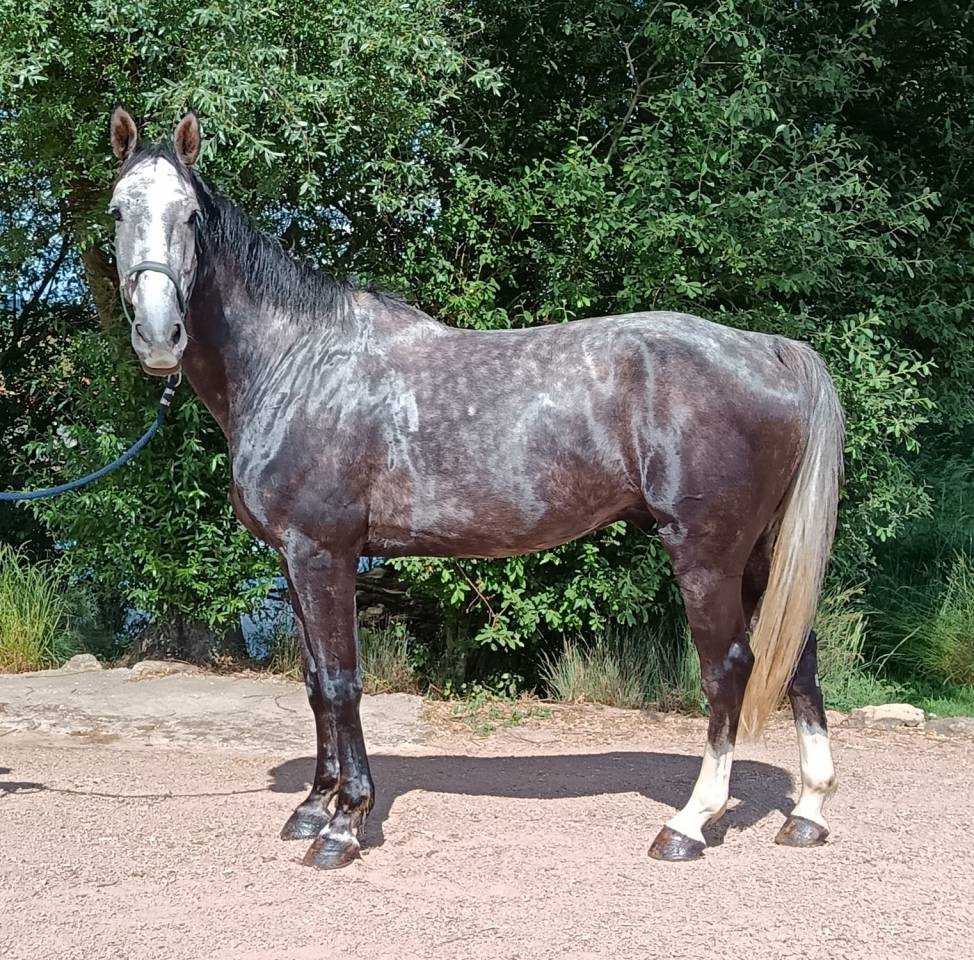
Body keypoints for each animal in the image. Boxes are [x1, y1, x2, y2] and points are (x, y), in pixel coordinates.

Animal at [107, 108, 843, 869]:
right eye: (118, 210)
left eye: (191, 215)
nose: (159, 335)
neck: (298, 363)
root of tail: (770, 350)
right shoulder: (292, 559)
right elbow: (314, 684)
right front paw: (313, 807)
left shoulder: (323, 553)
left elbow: (341, 684)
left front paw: (345, 824)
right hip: (758, 553)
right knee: (799, 658)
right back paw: (808, 813)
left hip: (706, 554)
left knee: (728, 668)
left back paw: (689, 824)